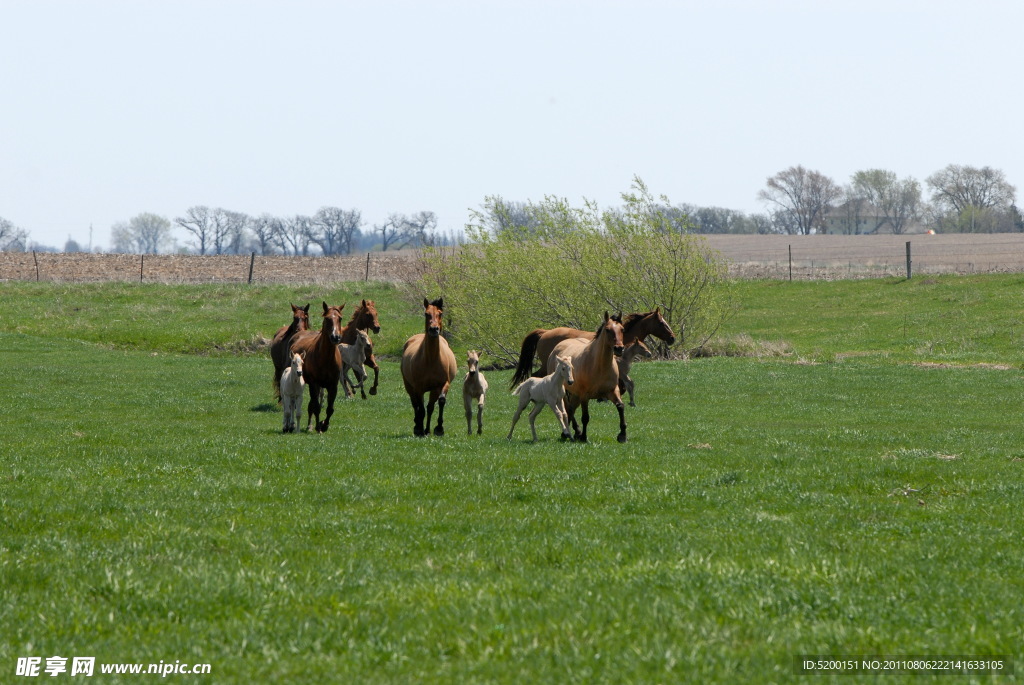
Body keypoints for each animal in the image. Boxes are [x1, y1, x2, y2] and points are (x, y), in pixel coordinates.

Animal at [290, 301, 346, 430]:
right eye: (327, 318)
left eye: (340, 318)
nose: (335, 337)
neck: (326, 358)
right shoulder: (314, 383)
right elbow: (316, 407)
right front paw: (318, 426)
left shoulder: (333, 385)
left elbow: (330, 409)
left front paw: (324, 424)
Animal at [401, 296, 458, 436]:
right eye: (426, 314)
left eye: (440, 313)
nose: (433, 329)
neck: (431, 360)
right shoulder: (418, 387)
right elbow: (421, 408)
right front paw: (420, 429)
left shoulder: (442, 384)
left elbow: (440, 402)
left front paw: (439, 428)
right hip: (409, 385)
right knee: (415, 404)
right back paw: (418, 427)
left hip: (433, 389)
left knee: (430, 407)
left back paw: (427, 429)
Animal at [548, 311, 626, 444]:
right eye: (607, 330)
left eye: (622, 329)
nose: (619, 348)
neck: (599, 366)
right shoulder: (585, 395)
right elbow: (585, 417)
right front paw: (584, 437)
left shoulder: (612, 391)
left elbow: (620, 406)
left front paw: (622, 435)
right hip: (564, 391)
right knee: (569, 409)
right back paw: (576, 432)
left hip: (575, 394)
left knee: (571, 409)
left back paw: (569, 433)